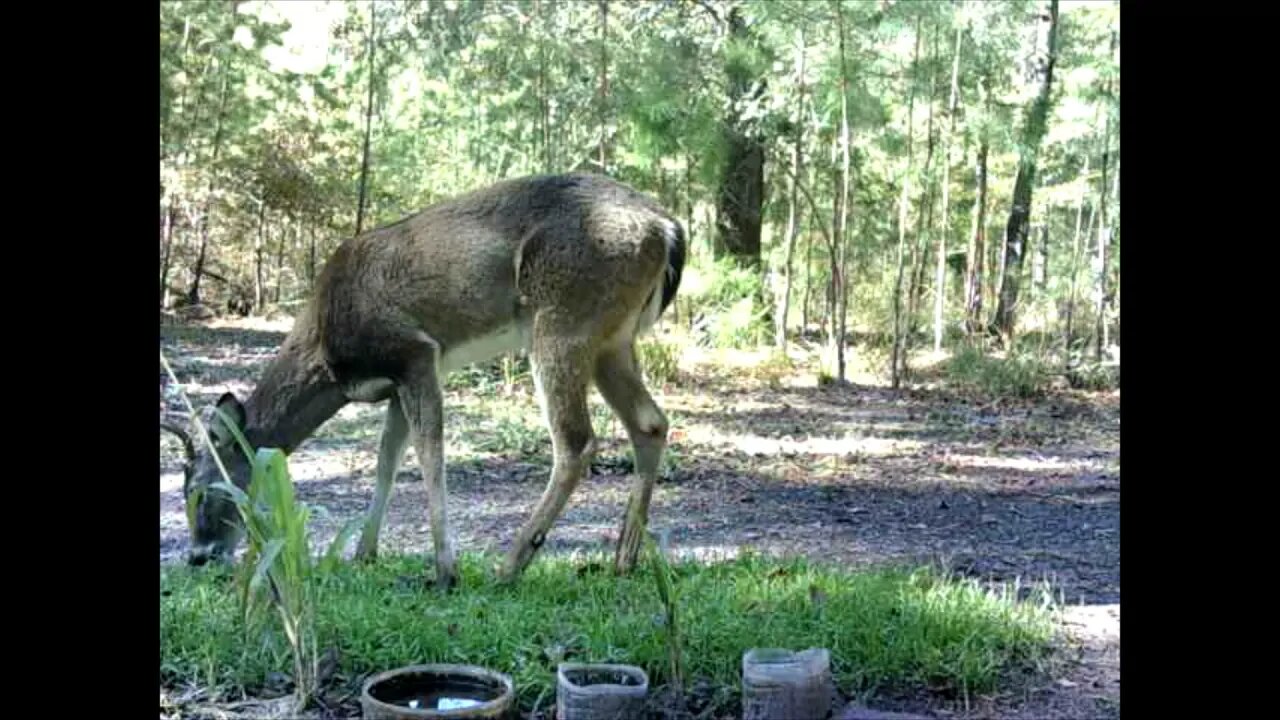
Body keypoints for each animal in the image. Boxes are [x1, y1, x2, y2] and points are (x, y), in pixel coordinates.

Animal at [162, 174, 691, 589]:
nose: (198, 556)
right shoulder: (395, 382)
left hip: (564, 318)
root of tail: (668, 227)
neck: (329, 354)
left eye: (202, 490)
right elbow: (386, 460)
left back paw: (511, 564)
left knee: (577, 441)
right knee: (650, 423)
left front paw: (445, 569)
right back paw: (623, 560)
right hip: (612, 339)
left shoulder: (414, 351)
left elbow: (429, 452)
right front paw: (365, 554)